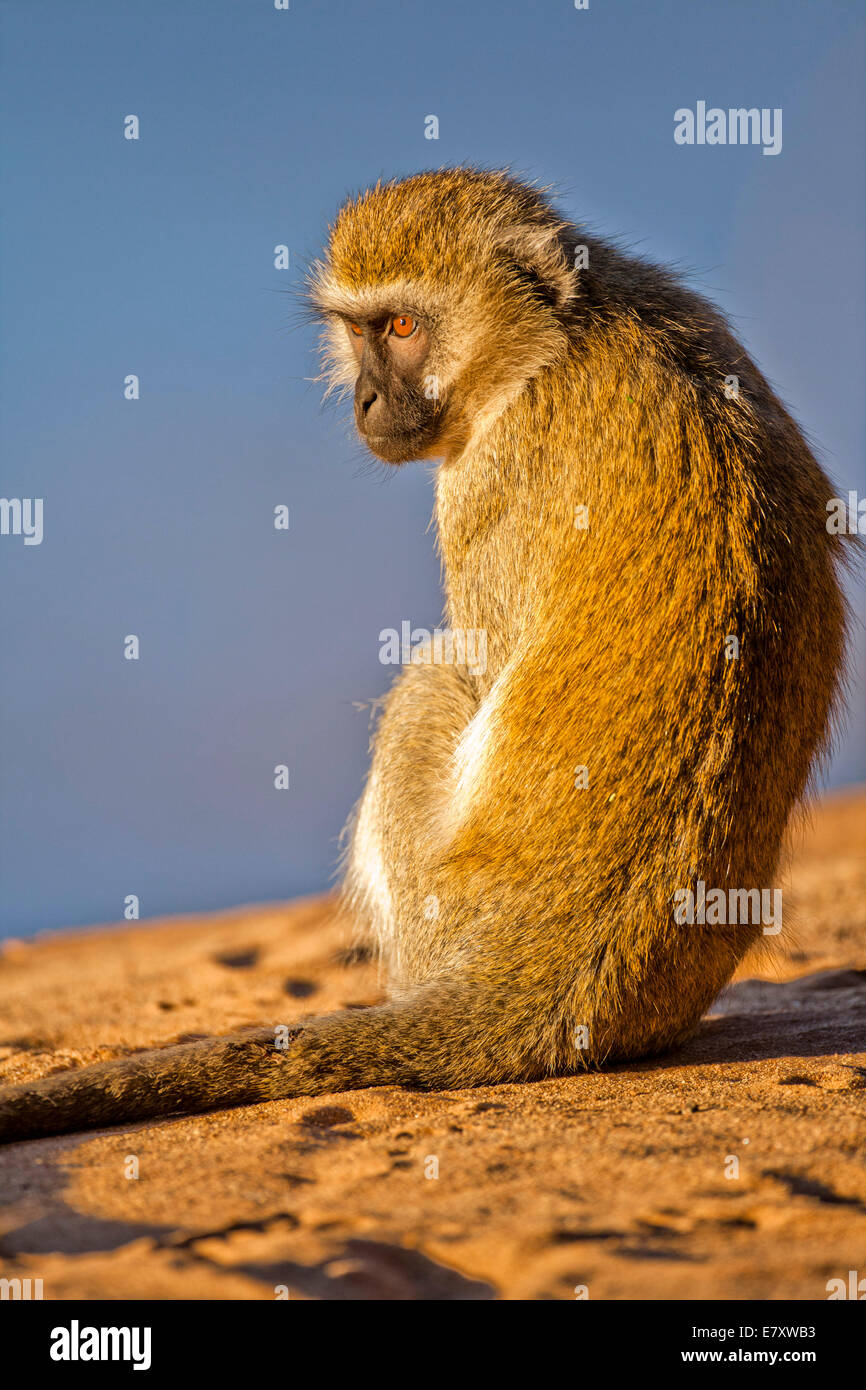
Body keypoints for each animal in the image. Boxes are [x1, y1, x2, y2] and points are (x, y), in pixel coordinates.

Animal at [0, 167, 852, 1145]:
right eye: (358, 330)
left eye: (403, 328)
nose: (366, 402)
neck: (560, 338)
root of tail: (542, 991)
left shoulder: (489, 472)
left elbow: (477, 663)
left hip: (437, 905)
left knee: (431, 680)